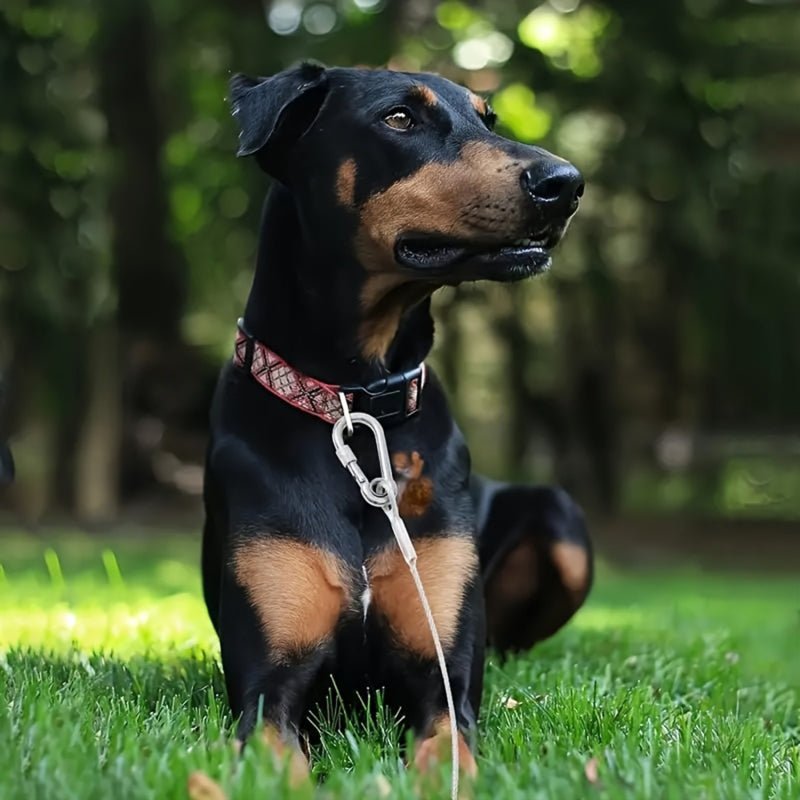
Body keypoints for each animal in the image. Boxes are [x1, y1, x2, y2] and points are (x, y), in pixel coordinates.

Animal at [203, 62, 592, 780]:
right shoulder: (269, 686)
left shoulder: (444, 682)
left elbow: (450, 752)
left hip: (562, 520)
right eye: (400, 119)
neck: (355, 402)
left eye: (488, 119)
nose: (566, 183)